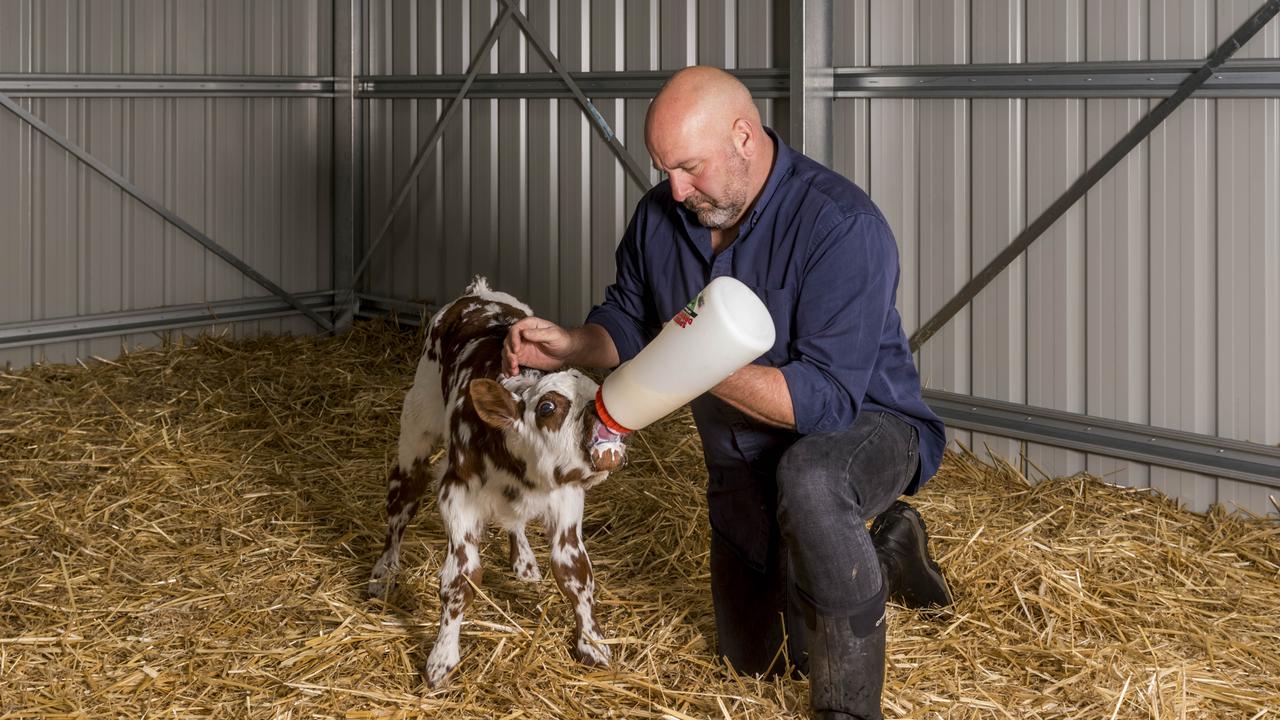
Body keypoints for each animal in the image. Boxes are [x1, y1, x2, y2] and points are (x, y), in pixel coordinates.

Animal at [368, 274, 627, 681]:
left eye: (595, 393)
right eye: (548, 407)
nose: (598, 413)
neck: (525, 473)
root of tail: (478, 292)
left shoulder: (567, 498)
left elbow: (575, 574)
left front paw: (592, 644)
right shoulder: (456, 494)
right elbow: (460, 580)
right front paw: (441, 659)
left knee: (513, 522)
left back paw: (524, 560)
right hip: (416, 427)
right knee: (402, 498)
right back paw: (383, 572)